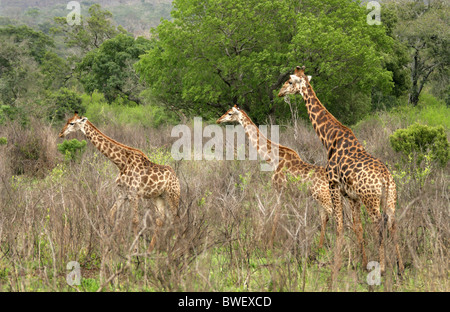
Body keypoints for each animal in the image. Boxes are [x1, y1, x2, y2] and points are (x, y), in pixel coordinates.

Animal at [58, 111, 181, 252]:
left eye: (72, 123)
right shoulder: (123, 193)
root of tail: (176, 178)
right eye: (67, 121)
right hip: (158, 197)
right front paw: (119, 244)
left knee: (176, 219)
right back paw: (151, 250)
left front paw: (134, 250)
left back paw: (177, 249)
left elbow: (135, 221)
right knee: (160, 220)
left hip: (172, 195)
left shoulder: (133, 193)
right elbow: (111, 215)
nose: (61, 133)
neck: (121, 163)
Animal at [216, 105, 336, 249]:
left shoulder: (280, 190)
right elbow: (294, 217)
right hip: (320, 199)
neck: (273, 159)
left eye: (229, 113)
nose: (218, 120)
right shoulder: (291, 195)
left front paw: (270, 244)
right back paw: (320, 247)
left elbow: (276, 216)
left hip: (324, 197)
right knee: (325, 217)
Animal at [278, 66, 404, 272]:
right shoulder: (352, 196)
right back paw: (400, 267)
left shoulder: (333, 185)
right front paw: (362, 264)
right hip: (390, 197)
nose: (280, 92)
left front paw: (336, 264)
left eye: (289, 81)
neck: (330, 138)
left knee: (379, 224)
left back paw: (383, 267)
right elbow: (357, 227)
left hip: (371, 199)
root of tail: (385, 178)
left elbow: (339, 226)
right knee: (393, 223)